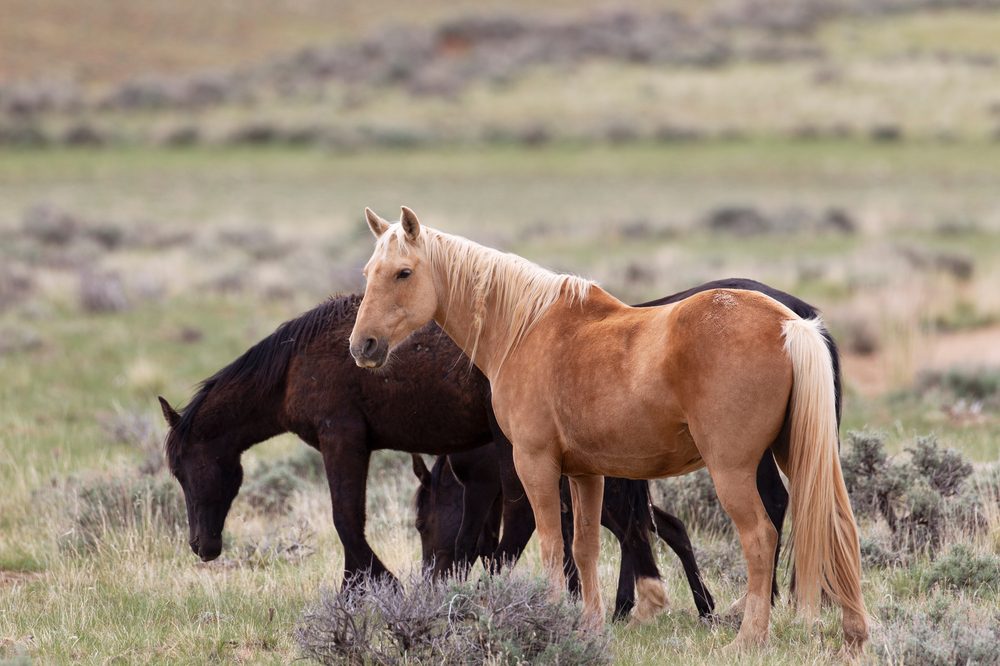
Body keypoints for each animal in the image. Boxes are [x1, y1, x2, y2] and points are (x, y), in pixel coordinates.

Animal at [348, 208, 864, 648]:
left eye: (403, 273)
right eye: (368, 273)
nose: (362, 345)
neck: (526, 327)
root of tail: (790, 323)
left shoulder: (534, 465)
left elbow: (553, 546)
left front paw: (553, 621)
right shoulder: (585, 473)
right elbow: (586, 548)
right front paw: (590, 627)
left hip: (734, 470)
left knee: (760, 537)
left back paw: (748, 636)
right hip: (797, 456)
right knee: (838, 529)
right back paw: (853, 632)